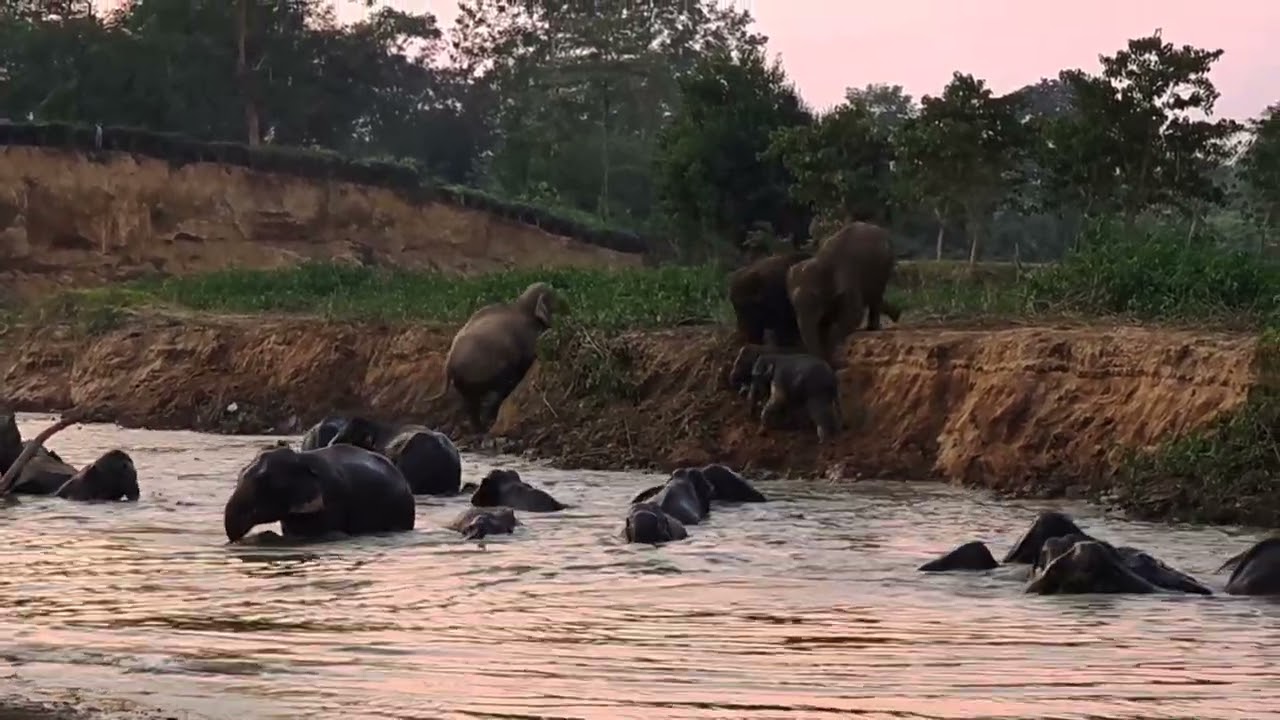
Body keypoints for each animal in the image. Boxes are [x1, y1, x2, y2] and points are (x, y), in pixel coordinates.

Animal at [428, 282, 568, 433]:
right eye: (553, 294)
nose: (566, 302)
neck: (524, 308)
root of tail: (448, 366)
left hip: (467, 386)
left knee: (473, 406)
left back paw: (480, 429)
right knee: (500, 390)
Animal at [785, 221, 901, 364]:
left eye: (815, 302)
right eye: (794, 305)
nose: (825, 361)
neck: (821, 262)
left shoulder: (847, 276)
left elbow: (853, 314)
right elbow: (824, 323)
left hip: (885, 266)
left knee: (876, 296)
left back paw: (873, 327)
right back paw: (895, 314)